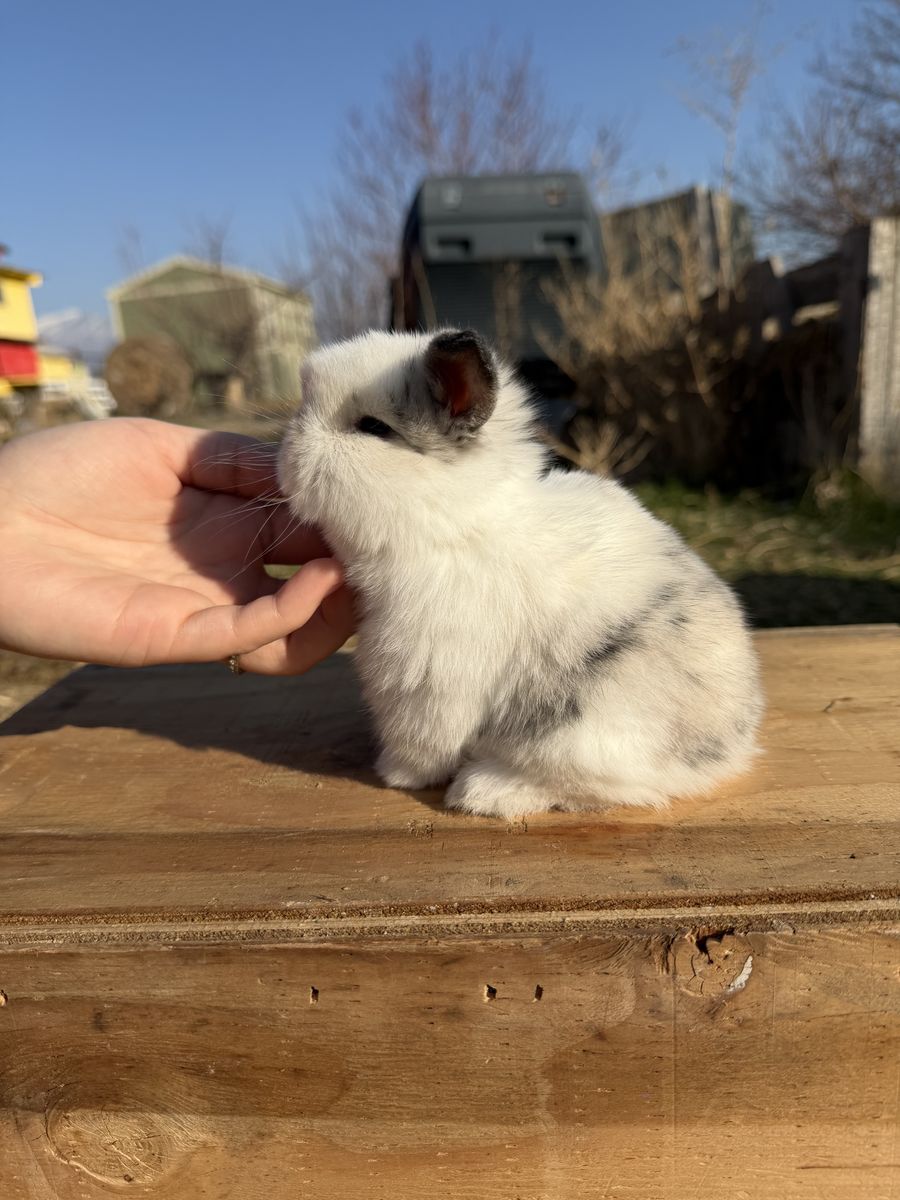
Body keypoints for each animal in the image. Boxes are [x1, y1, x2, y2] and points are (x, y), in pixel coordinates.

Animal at [278, 328, 763, 819]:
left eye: (373, 427)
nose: (288, 456)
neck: (453, 526)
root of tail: (731, 744)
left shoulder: (429, 684)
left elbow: (424, 744)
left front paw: (396, 774)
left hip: (576, 734)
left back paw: (485, 791)